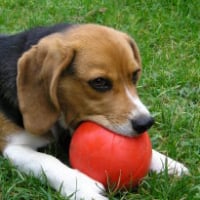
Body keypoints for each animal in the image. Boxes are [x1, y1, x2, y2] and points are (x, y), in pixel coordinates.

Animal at [0, 23, 188, 198]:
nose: (146, 123)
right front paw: (80, 185)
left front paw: (165, 163)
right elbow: (45, 160)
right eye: (99, 82)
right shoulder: (12, 147)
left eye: (135, 74)